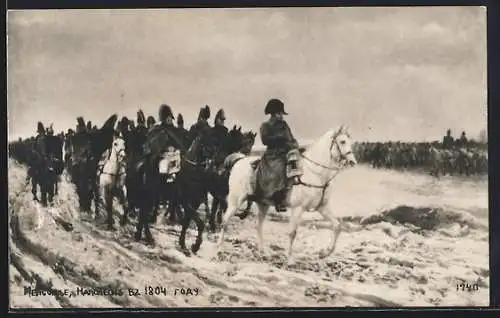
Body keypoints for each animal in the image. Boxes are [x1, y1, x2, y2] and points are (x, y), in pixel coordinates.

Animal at [217, 125, 358, 262]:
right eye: (342, 141)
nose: (353, 162)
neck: (315, 174)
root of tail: (240, 160)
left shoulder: (322, 207)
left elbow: (337, 225)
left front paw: (325, 253)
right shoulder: (298, 208)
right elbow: (292, 233)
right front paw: (289, 259)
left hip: (263, 205)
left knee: (258, 227)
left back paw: (262, 252)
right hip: (235, 201)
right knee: (225, 221)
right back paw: (219, 249)